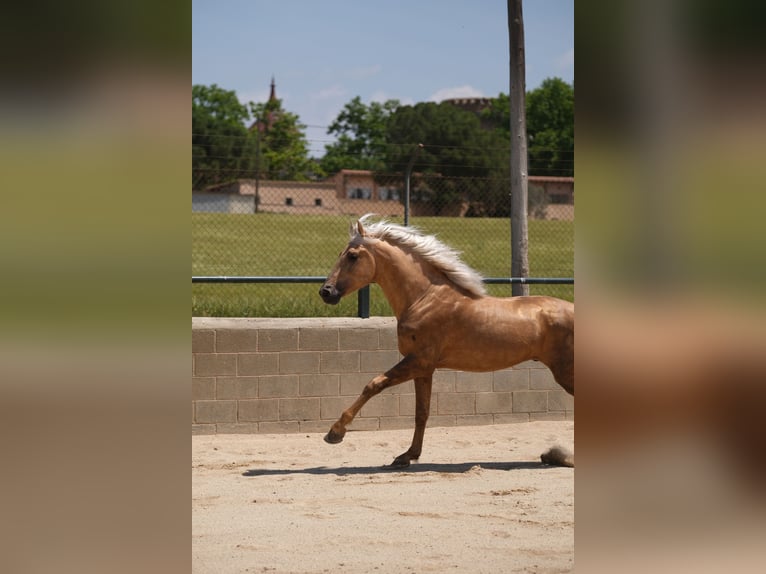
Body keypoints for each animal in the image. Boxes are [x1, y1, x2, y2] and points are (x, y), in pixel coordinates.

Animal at [318, 216, 576, 468]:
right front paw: (407, 456)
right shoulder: (424, 369)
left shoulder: (419, 361)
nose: (326, 292)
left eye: (352, 256)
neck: (424, 298)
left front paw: (335, 433)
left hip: (566, 373)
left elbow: (373, 385)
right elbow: (421, 412)